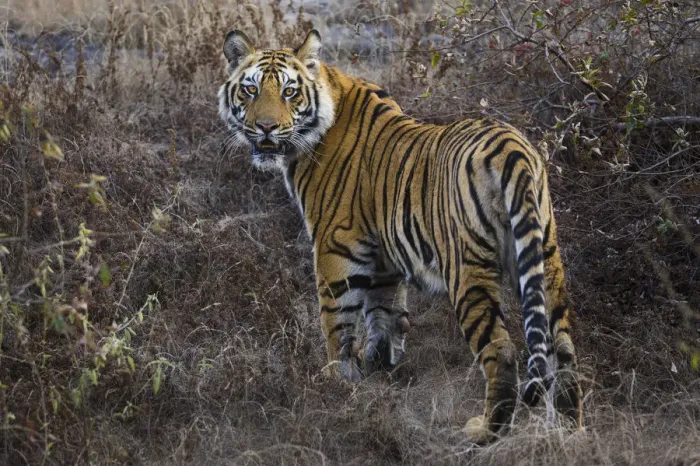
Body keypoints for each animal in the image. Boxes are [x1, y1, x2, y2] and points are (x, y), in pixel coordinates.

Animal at [218, 29, 583, 442]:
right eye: (250, 90)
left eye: (289, 92)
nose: (265, 127)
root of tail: (512, 147)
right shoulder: (384, 256)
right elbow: (384, 313)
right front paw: (377, 368)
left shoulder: (335, 245)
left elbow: (336, 321)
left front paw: (335, 384)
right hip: (545, 259)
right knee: (564, 348)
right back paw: (570, 434)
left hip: (467, 269)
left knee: (501, 352)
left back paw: (485, 432)